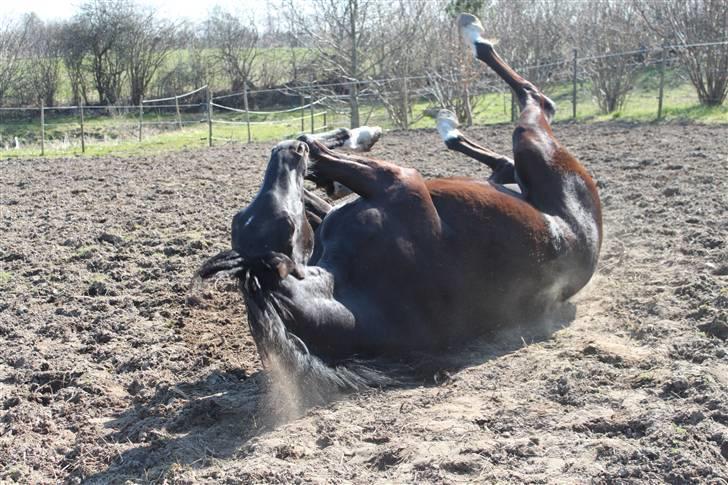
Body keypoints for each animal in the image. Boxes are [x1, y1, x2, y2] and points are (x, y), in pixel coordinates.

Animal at [198, 14, 604, 394]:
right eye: (279, 221)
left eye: (248, 218)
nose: (288, 155)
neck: (350, 295)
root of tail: (590, 237)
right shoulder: (398, 179)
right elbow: (316, 149)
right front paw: (347, 140)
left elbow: (316, 156)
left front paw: (343, 145)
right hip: (534, 145)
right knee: (534, 103)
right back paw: (467, 52)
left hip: (524, 163)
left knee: (511, 149)